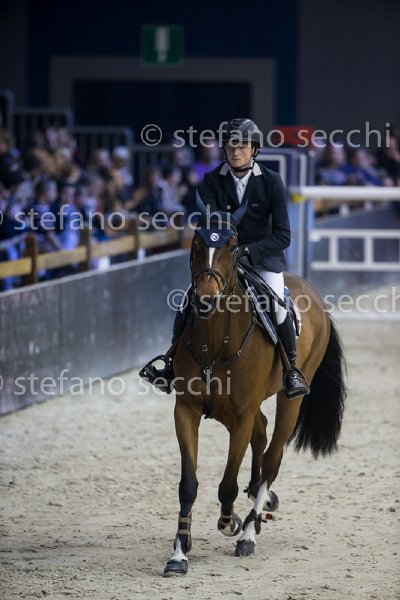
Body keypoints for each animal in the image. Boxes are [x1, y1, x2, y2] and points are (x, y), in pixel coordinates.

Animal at [162, 200, 346, 576]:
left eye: (233, 247)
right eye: (195, 244)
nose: (205, 299)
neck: (214, 343)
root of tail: (313, 294)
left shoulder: (241, 415)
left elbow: (227, 484)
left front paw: (229, 522)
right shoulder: (186, 410)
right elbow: (188, 484)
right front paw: (179, 552)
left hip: (289, 400)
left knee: (272, 457)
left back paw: (249, 530)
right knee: (261, 437)